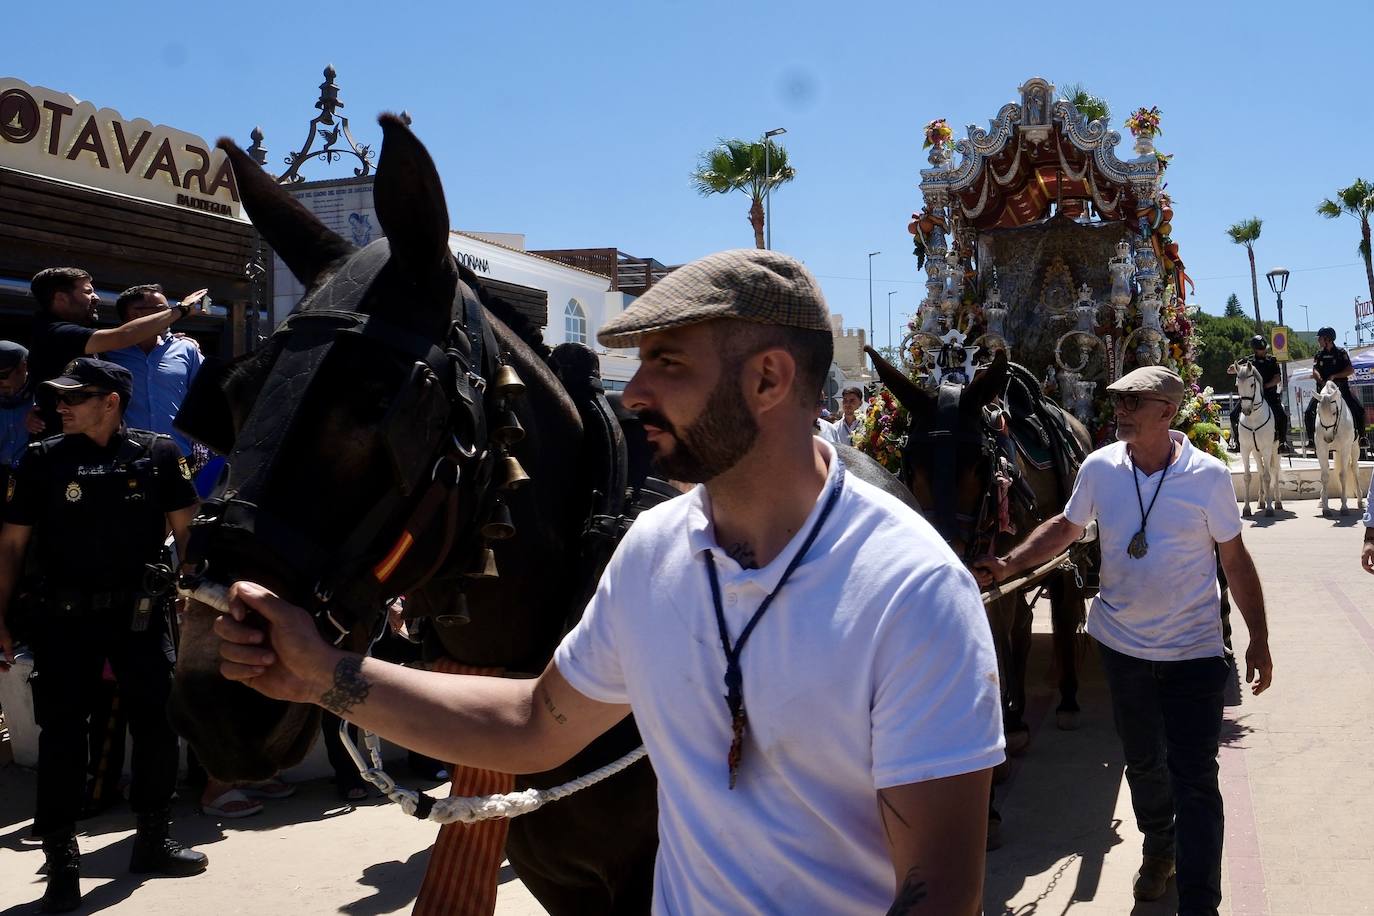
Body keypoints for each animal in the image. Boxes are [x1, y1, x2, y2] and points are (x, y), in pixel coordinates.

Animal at [862, 347, 1088, 758]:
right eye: (910, 462)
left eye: (979, 463)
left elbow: (998, 635)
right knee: (1023, 626)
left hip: (1064, 554)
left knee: (1061, 617)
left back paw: (1065, 701)